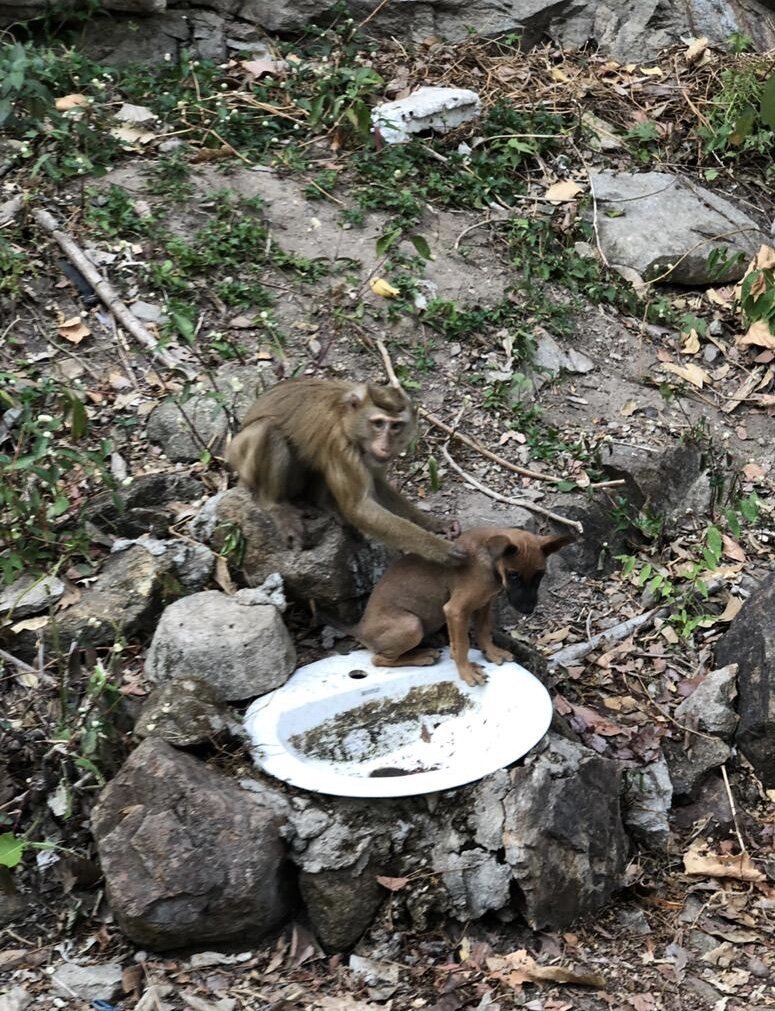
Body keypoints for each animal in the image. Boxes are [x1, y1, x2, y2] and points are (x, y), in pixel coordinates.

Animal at [226, 380, 466, 566]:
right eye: (378, 423)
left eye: (396, 426)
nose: (385, 446)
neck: (348, 420)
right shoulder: (339, 443)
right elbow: (360, 508)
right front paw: (441, 549)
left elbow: (377, 484)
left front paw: (434, 524)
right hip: (243, 460)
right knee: (269, 429)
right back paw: (276, 506)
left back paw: (322, 502)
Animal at [355, 529, 573, 687]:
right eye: (513, 575)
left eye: (539, 575)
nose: (528, 610)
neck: (490, 563)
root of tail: (358, 631)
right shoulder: (456, 610)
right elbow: (463, 646)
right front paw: (467, 671)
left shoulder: (484, 604)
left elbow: (483, 632)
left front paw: (491, 652)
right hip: (411, 625)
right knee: (378, 660)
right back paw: (421, 656)